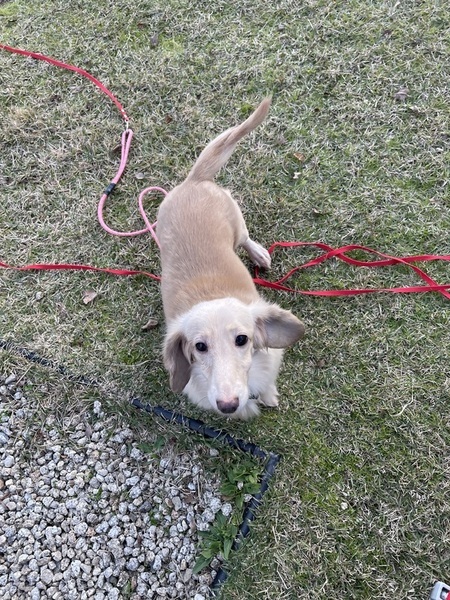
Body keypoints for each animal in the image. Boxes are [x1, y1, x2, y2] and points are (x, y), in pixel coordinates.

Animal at [156, 98, 305, 419]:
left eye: (242, 339)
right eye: (199, 346)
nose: (228, 406)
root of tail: (194, 180)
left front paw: (269, 397)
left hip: (237, 225)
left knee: (246, 238)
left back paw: (259, 253)